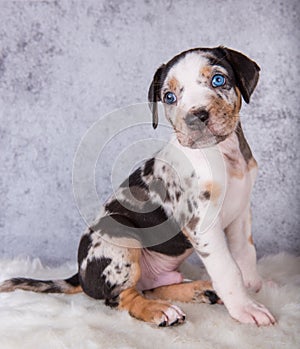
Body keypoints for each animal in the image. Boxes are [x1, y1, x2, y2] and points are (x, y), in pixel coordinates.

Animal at [0, 46, 276, 326]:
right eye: (169, 97)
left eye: (218, 80)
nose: (195, 117)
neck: (223, 153)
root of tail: (79, 274)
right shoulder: (202, 223)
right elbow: (227, 268)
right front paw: (245, 308)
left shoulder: (241, 213)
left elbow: (245, 253)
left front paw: (254, 286)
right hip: (123, 237)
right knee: (122, 297)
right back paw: (160, 310)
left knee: (154, 287)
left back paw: (201, 290)